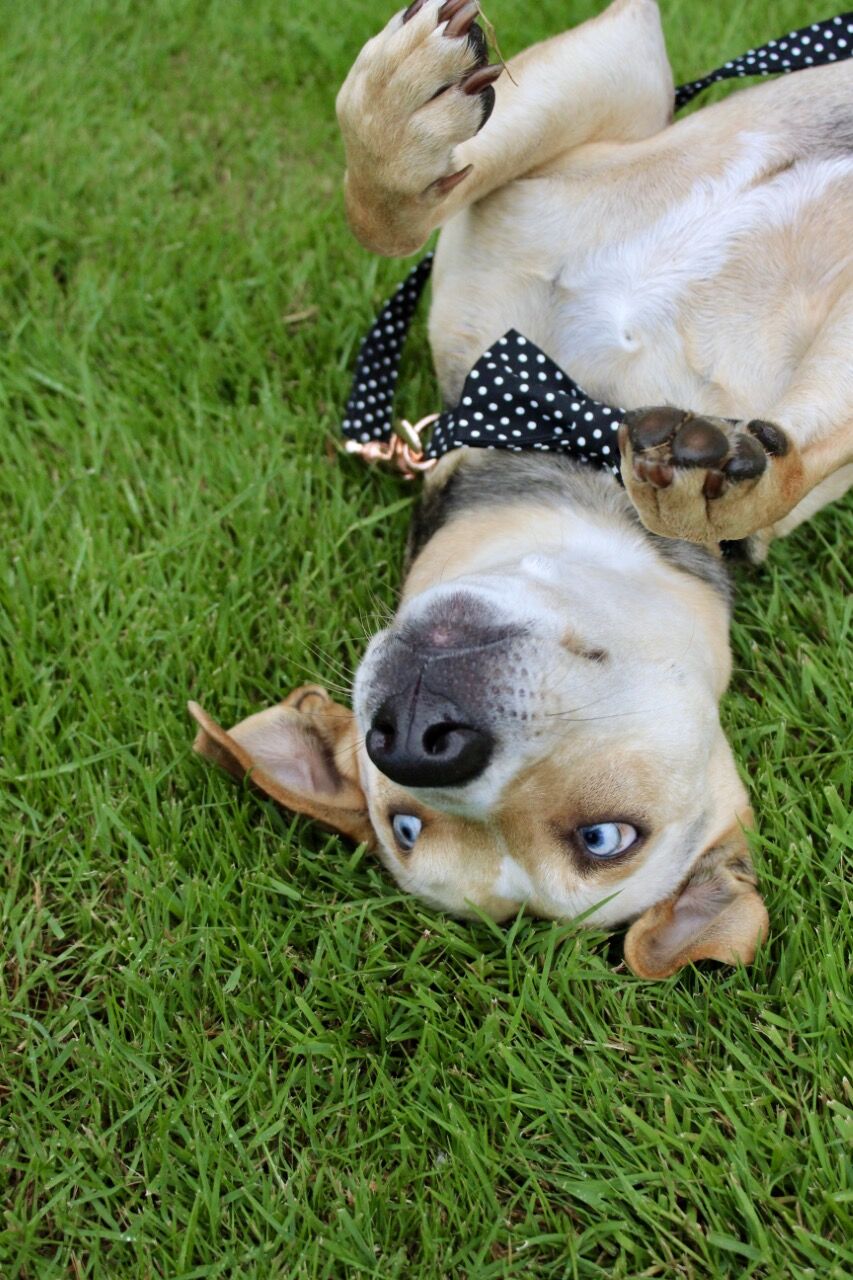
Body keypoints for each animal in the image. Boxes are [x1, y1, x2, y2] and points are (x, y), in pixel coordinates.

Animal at [189, 2, 845, 977]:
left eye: (605, 839)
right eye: (405, 825)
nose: (416, 738)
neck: (579, 425)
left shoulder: (624, 79)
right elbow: (387, 218)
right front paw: (405, 123)